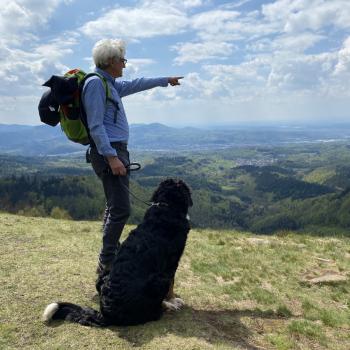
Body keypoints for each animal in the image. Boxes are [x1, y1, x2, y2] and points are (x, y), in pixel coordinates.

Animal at [43, 179, 194, 326]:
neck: (166, 206)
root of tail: (105, 314)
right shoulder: (171, 263)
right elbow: (172, 285)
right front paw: (173, 300)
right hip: (159, 279)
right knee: (155, 313)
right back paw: (168, 305)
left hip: (105, 273)